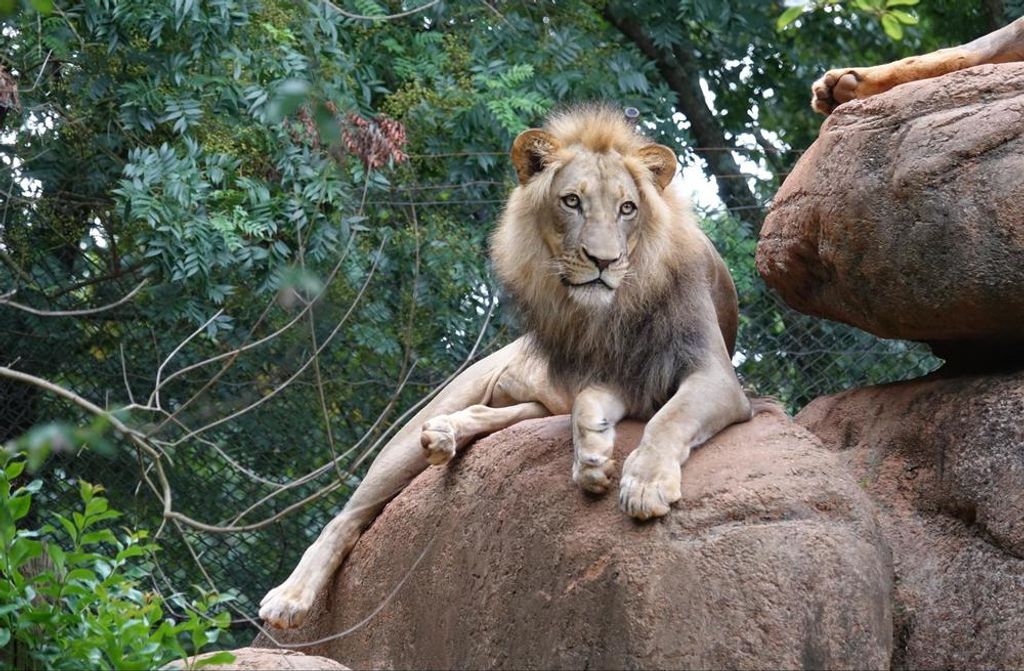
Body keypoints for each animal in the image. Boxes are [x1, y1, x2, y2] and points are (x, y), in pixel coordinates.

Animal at [259, 104, 754, 629]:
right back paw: (290, 596)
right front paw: (594, 458)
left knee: (495, 415)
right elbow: (591, 402)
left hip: (533, 404)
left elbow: (667, 418)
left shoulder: (712, 376)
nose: (603, 261)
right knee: (348, 514)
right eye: (572, 201)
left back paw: (446, 435)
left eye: (627, 208)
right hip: (426, 423)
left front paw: (637, 480)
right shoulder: (613, 374)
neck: (617, 308)